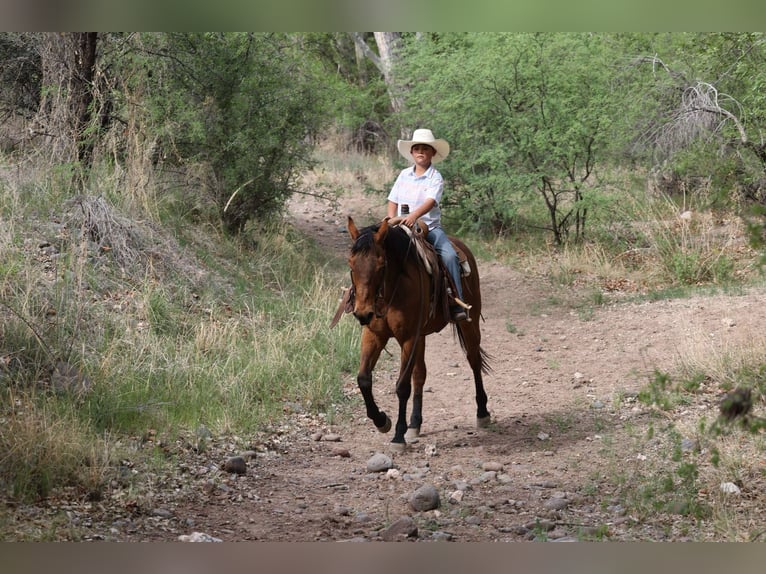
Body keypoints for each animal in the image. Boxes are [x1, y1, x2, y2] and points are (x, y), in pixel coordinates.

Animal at [343, 216, 491, 451]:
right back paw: (415, 424)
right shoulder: (374, 335)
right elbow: (364, 379)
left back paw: (482, 412)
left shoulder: (408, 338)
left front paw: (398, 436)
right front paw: (382, 421)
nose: (363, 313)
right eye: (351, 264)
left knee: (474, 361)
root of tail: (461, 245)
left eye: (381, 265)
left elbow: (402, 386)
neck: (392, 289)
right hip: (421, 336)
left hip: (470, 322)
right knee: (420, 374)